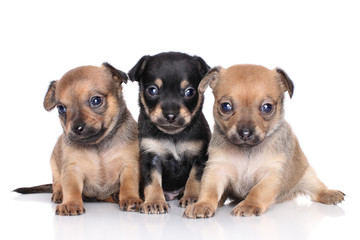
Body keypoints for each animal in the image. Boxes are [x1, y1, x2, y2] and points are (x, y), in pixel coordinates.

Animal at [14, 63, 143, 216]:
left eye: (96, 100)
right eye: (61, 108)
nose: (77, 128)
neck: (98, 145)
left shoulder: (129, 165)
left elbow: (129, 184)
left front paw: (130, 198)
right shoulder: (72, 170)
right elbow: (71, 189)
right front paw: (70, 203)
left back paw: (116, 196)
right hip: (54, 162)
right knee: (57, 182)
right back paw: (59, 194)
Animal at [129, 51, 211, 213]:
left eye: (190, 92)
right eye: (152, 90)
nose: (171, 115)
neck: (173, 136)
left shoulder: (199, 158)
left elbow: (194, 180)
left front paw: (192, 197)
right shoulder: (150, 157)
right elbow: (152, 182)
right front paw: (154, 202)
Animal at [184, 64, 344, 218]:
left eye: (267, 107)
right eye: (225, 106)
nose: (245, 132)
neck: (247, 151)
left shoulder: (271, 175)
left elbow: (258, 191)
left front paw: (249, 205)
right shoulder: (216, 169)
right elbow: (209, 190)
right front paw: (202, 204)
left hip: (307, 176)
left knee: (317, 189)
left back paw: (331, 194)